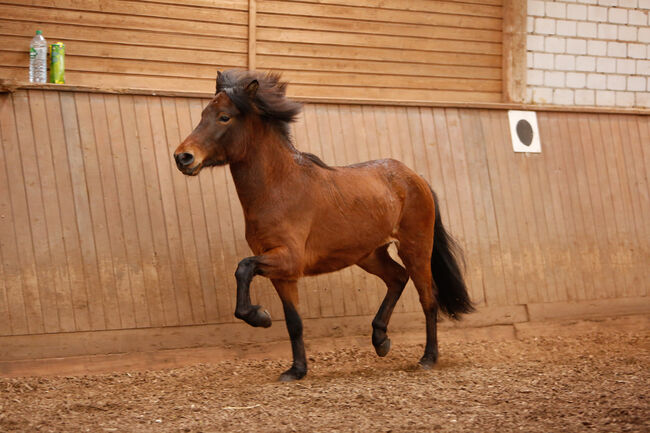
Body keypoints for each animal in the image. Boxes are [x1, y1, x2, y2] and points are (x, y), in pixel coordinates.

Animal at [173, 70, 474, 382]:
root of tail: (414, 177)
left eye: (224, 117)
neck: (279, 188)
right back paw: (380, 340)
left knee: (428, 297)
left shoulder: (289, 260)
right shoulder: (282, 273)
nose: (183, 157)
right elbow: (294, 322)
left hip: (416, 248)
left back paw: (428, 358)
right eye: (203, 114)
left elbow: (243, 267)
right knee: (397, 278)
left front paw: (261, 317)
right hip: (369, 254)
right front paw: (296, 370)